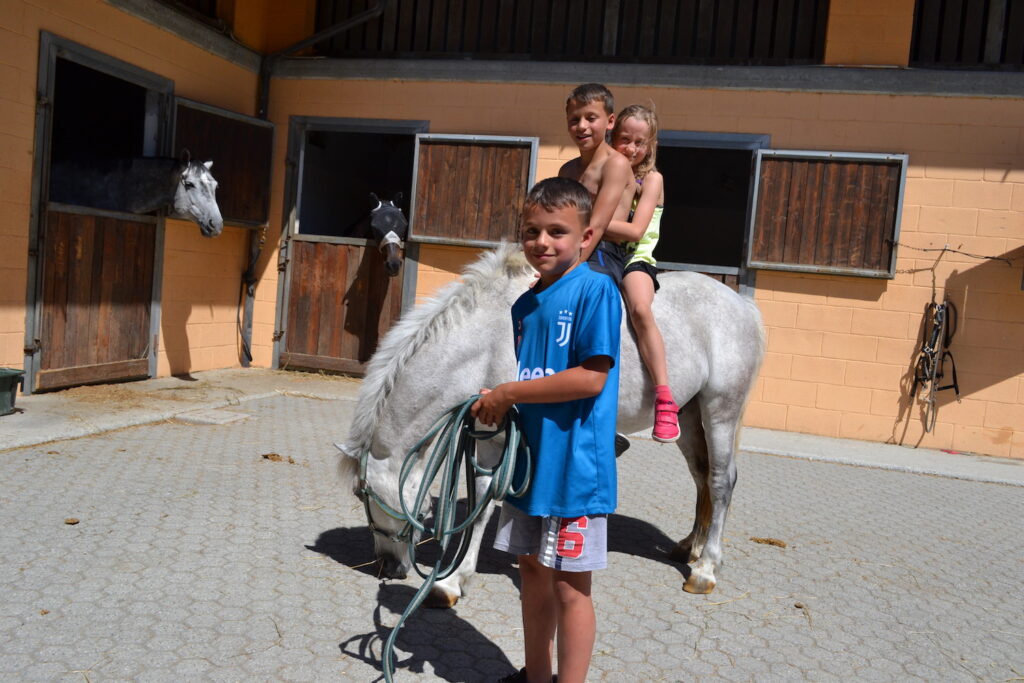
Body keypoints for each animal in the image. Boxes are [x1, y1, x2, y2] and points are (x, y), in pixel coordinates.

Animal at [339, 242, 765, 606]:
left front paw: (459, 579)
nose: (386, 567)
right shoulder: (491, 432)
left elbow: (500, 499)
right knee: (701, 476)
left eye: (361, 494)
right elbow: (485, 499)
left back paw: (705, 569)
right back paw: (690, 546)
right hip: (688, 417)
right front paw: (458, 578)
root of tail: (741, 305)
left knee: (721, 481)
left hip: (720, 410)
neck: (488, 339)